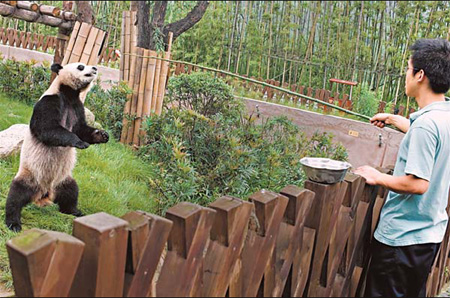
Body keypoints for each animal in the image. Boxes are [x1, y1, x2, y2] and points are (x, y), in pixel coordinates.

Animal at [4, 61, 109, 232]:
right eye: (81, 66)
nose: (94, 68)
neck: (69, 94)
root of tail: (43, 194)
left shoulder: (77, 106)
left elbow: (82, 129)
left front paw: (102, 135)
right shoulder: (49, 101)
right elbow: (47, 129)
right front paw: (80, 143)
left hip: (63, 180)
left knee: (71, 192)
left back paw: (75, 212)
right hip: (30, 175)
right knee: (16, 196)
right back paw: (14, 223)